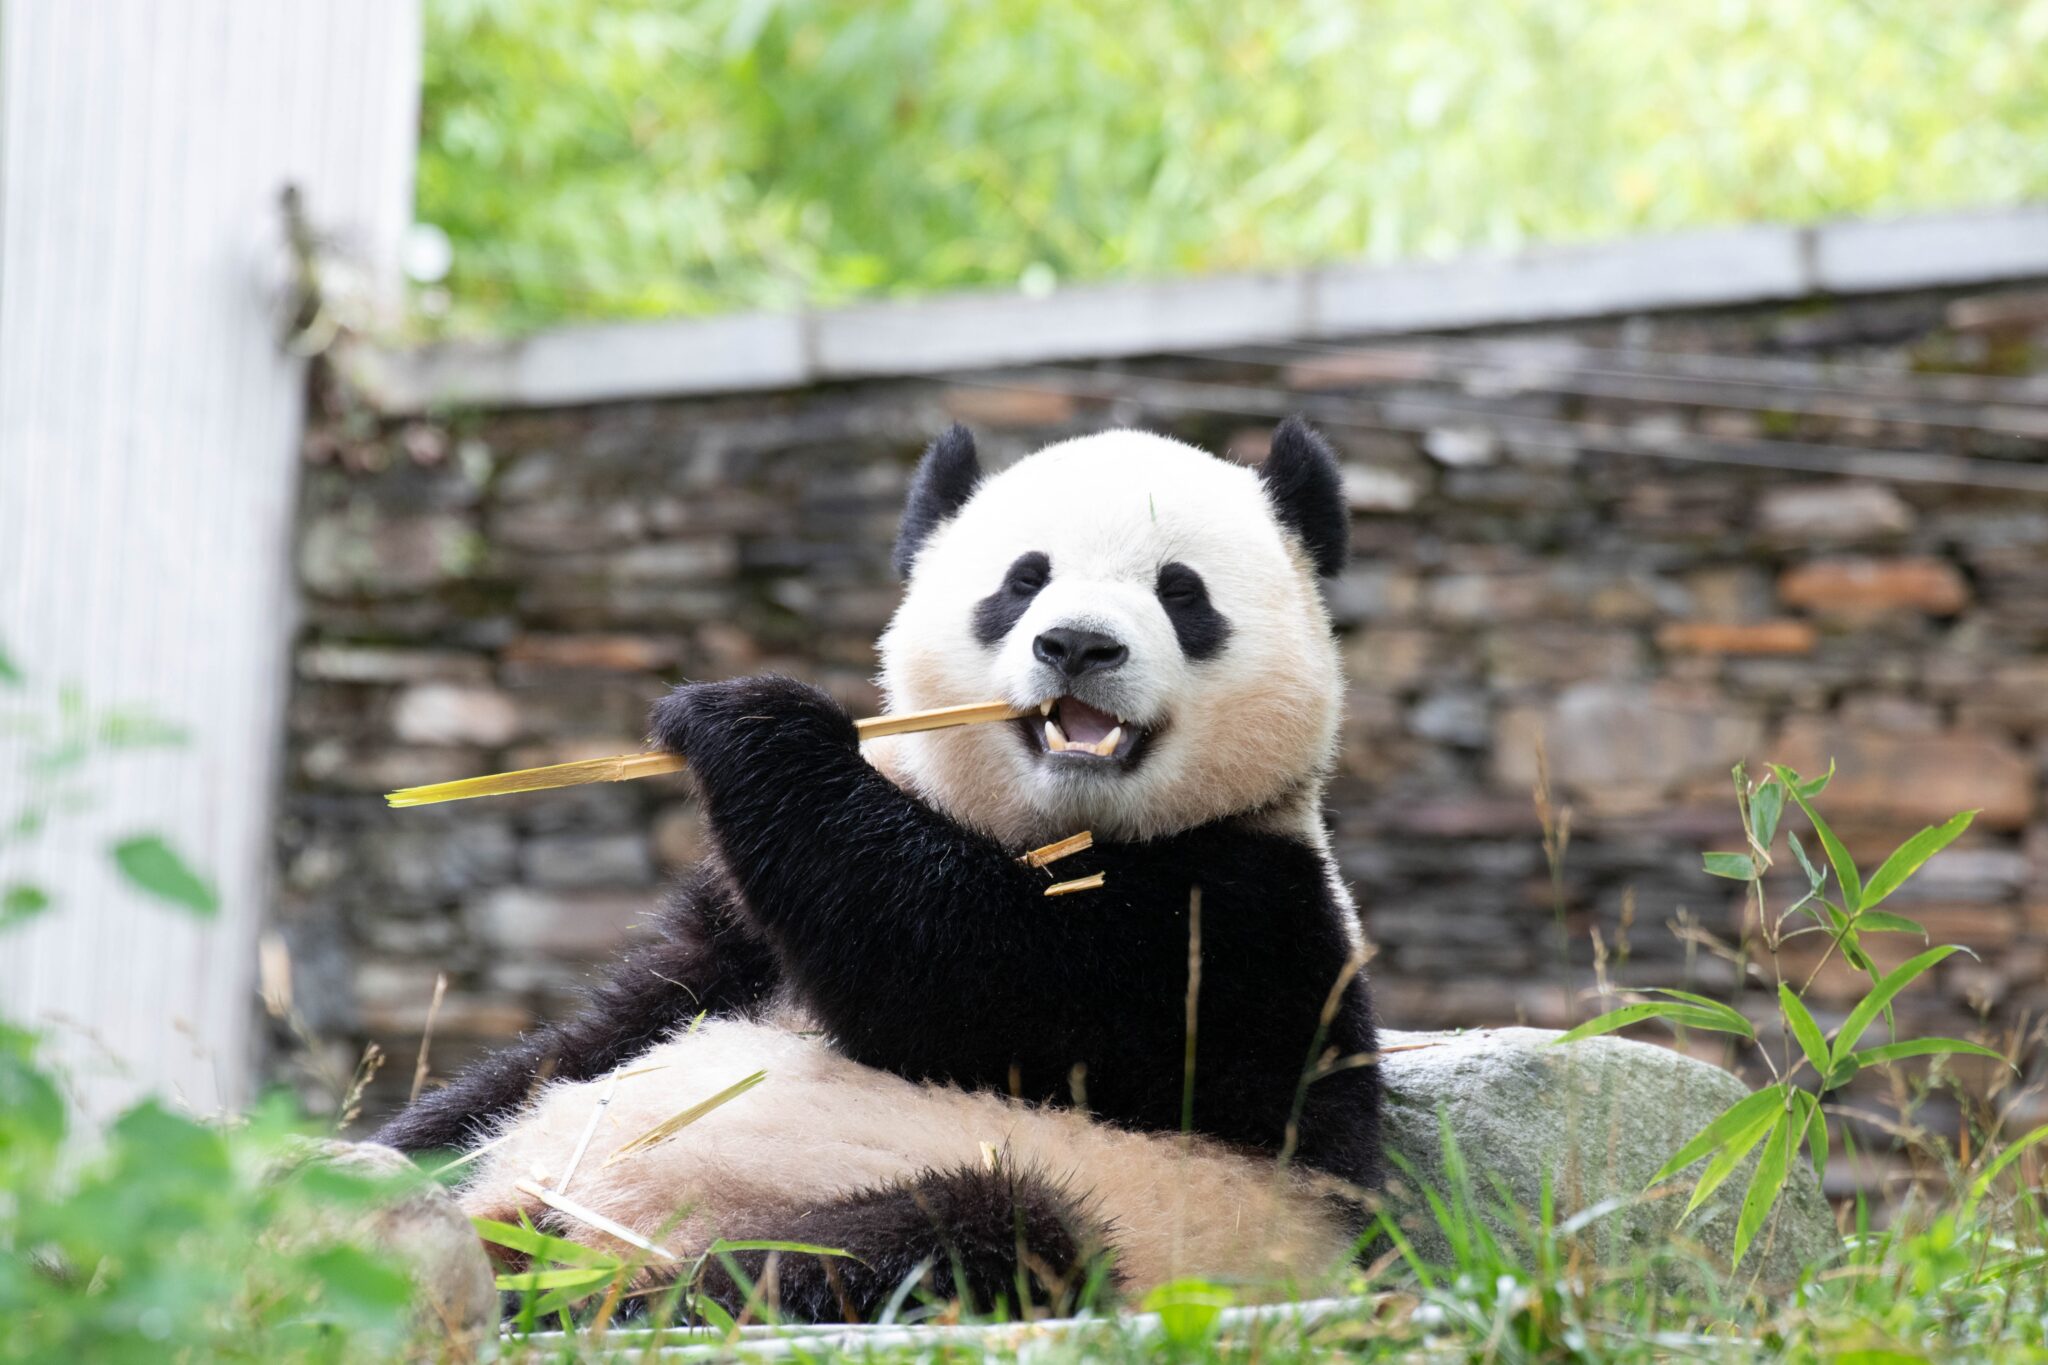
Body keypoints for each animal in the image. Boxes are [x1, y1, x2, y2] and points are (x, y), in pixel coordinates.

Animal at [375, 418, 1383, 1321]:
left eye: (1182, 593)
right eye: (1023, 581)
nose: (1078, 645)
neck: (1055, 829)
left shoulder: (1245, 917)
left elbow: (969, 975)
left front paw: (752, 718)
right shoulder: (734, 945)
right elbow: (607, 1029)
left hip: (1111, 1213)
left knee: (948, 1239)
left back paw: (603, 1300)